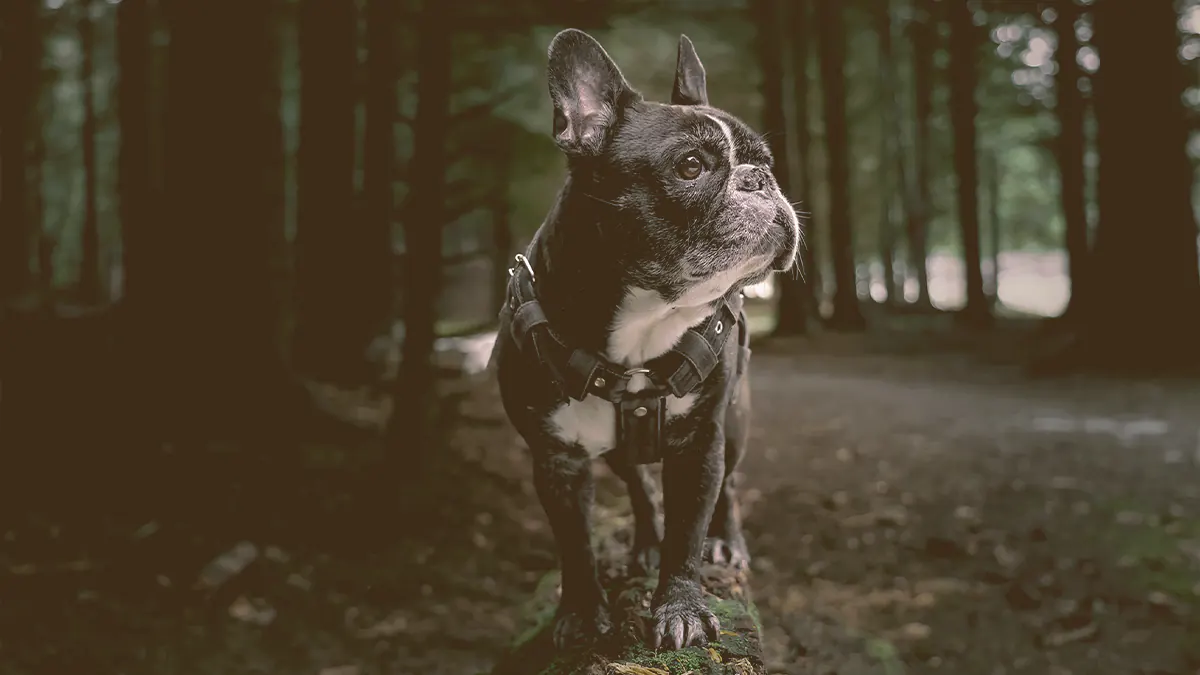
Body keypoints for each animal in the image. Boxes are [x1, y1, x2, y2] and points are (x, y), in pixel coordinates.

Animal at [492, 28, 801, 648]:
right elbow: (575, 544)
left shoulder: (701, 443)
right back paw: (644, 543)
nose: (761, 180)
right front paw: (581, 614)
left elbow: (689, 530)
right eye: (691, 166)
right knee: (637, 483)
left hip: (735, 419)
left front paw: (681, 608)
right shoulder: (556, 460)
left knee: (730, 486)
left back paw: (725, 541)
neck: (644, 321)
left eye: (765, 162)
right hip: (616, 451)